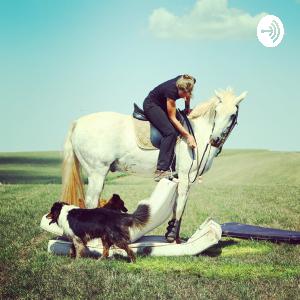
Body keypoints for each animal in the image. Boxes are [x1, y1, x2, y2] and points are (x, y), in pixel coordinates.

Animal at [60, 86, 246, 230]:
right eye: (216, 112)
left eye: (232, 114)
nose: (215, 140)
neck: (197, 131)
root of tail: (78, 122)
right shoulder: (185, 176)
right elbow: (180, 206)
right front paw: (174, 238)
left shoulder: (178, 177)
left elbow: (176, 205)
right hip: (97, 172)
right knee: (91, 201)